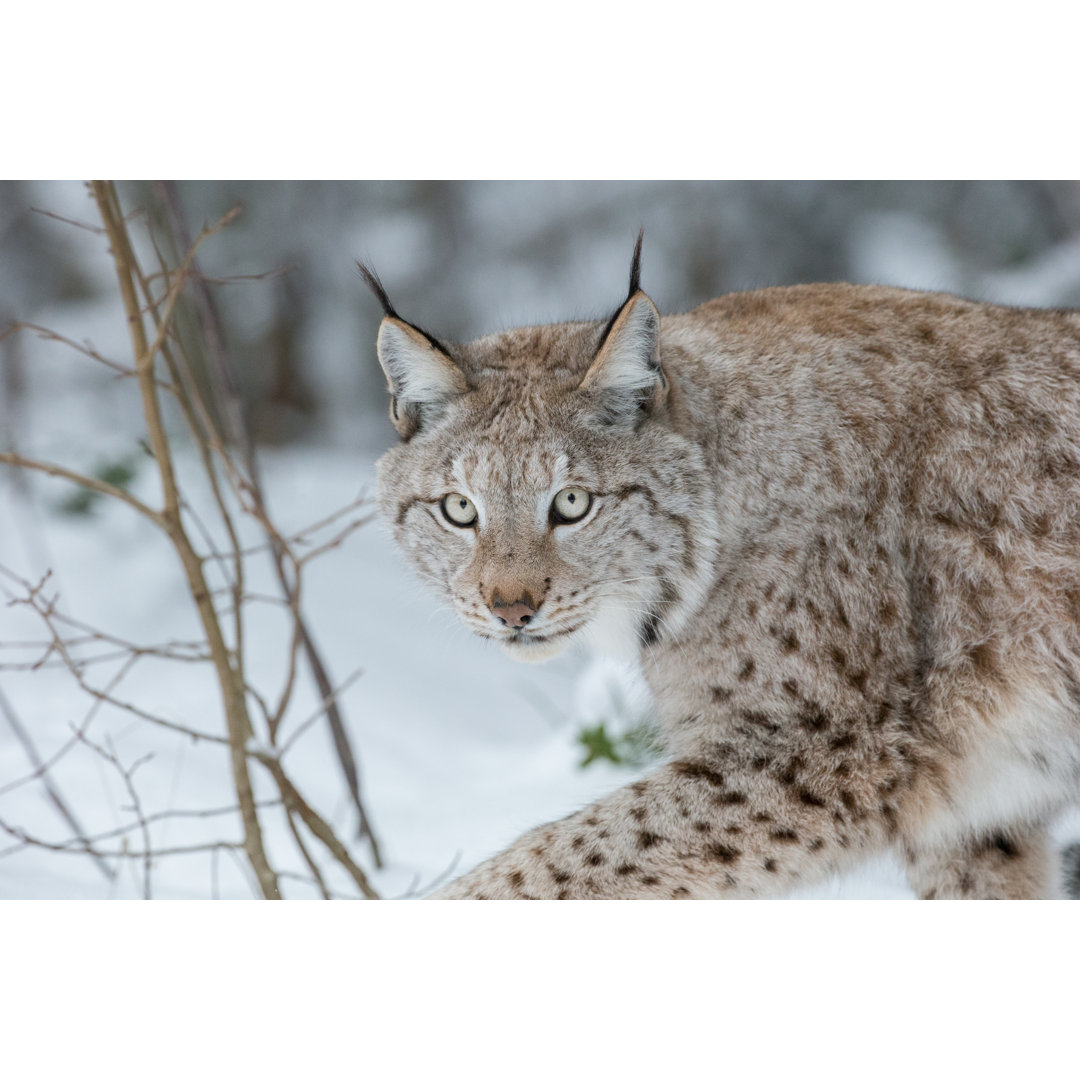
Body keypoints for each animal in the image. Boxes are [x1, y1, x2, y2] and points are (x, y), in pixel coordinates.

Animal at [360, 238, 1080, 902]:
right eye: (459, 510)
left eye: (571, 504)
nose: (510, 609)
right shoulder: (975, 810)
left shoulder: (828, 748)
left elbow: (563, 856)